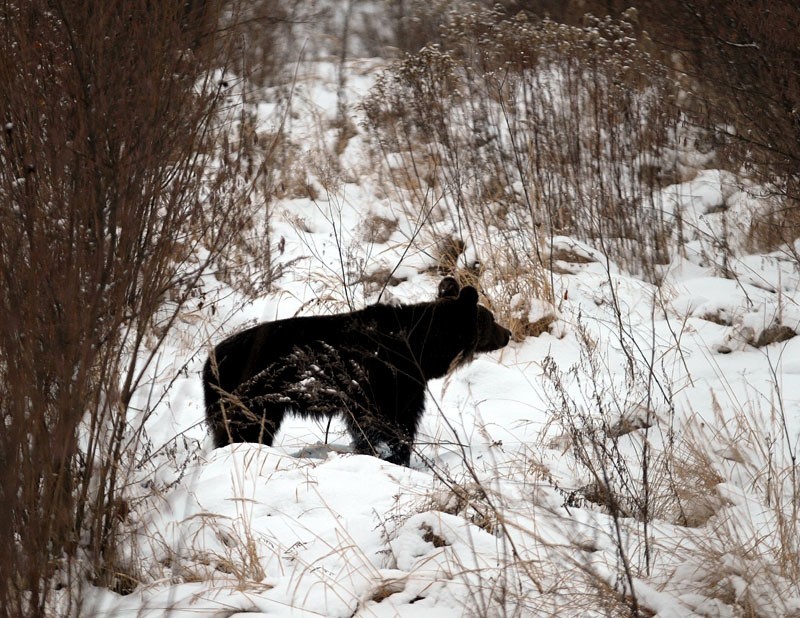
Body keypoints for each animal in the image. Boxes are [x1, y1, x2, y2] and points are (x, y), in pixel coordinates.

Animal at [203, 276, 510, 464]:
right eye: (490, 319)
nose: (507, 333)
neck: (421, 348)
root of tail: (209, 363)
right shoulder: (388, 379)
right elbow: (392, 421)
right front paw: (395, 455)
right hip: (247, 394)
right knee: (243, 428)